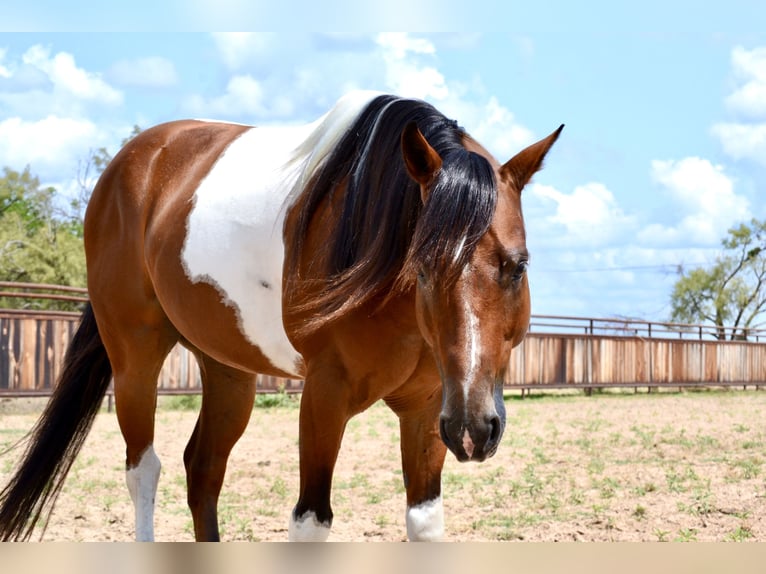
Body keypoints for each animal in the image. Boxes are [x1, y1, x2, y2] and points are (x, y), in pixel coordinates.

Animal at [0, 92, 564, 544]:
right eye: (422, 267)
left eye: (518, 266)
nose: (473, 429)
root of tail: (130, 163)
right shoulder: (323, 395)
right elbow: (311, 519)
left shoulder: (428, 407)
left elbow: (423, 521)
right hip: (135, 356)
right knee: (144, 470)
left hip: (228, 370)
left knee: (203, 469)